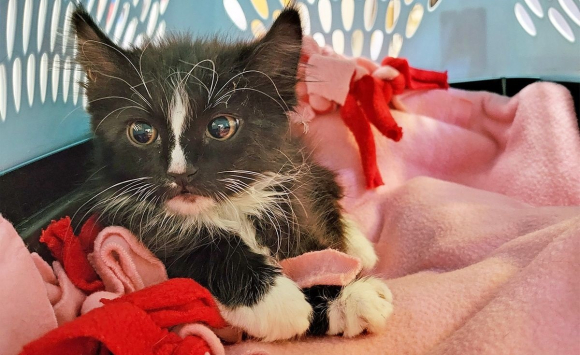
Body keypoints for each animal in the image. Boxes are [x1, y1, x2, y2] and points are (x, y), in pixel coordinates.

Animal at [70, 4, 392, 340]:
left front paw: (348, 295)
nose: (180, 173)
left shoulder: (289, 185)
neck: (226, 208)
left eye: (221, 127)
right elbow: (193, 248)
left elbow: (311, 242)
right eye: (142, 132)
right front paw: (280, 302)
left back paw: (359, 245)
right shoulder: (131, 226)